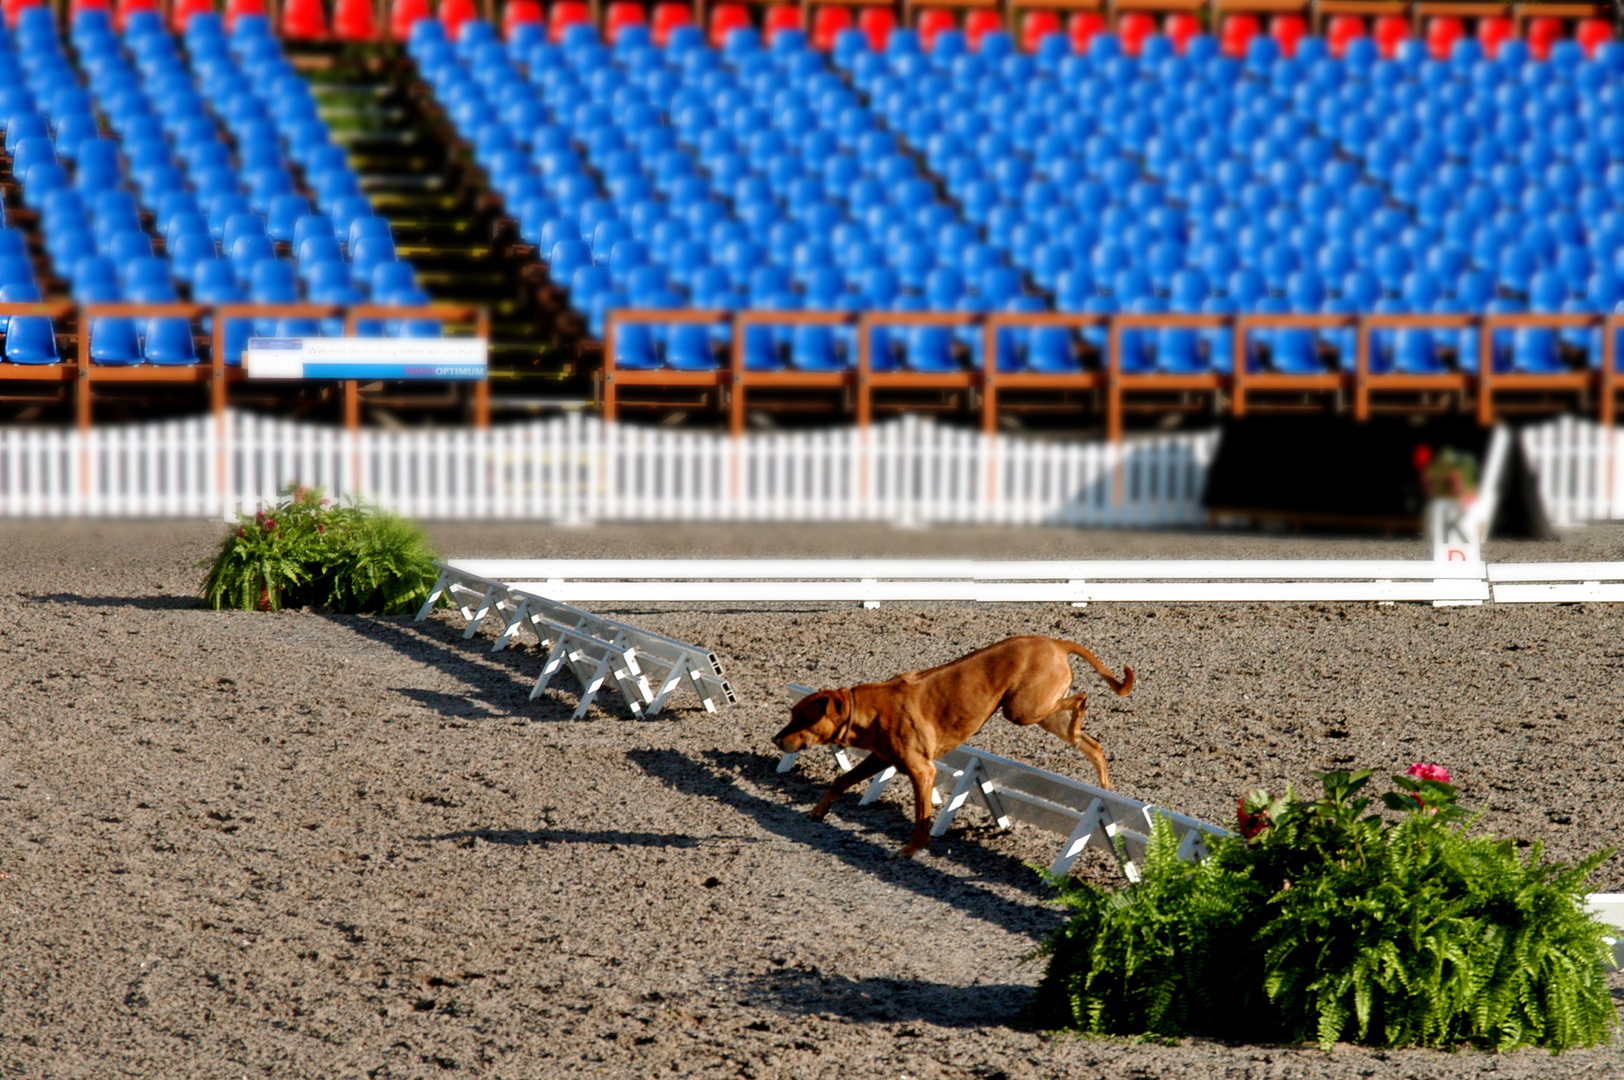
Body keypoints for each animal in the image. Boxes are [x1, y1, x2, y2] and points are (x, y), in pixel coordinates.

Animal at [769, 633, 1130, 857]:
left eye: (802, 720)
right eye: (791, 715)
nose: (775, 739)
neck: (864, 709)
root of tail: (1056, 641)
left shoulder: (921, 771)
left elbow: (921, 817)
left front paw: (911, 849)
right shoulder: (880, 758)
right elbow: (840, 780)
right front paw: (819, 810)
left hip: (1023, 709)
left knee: (1081, 698)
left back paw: (1082, 714)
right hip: (1039, 712)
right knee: (1091, 742)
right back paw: (1101, 778)